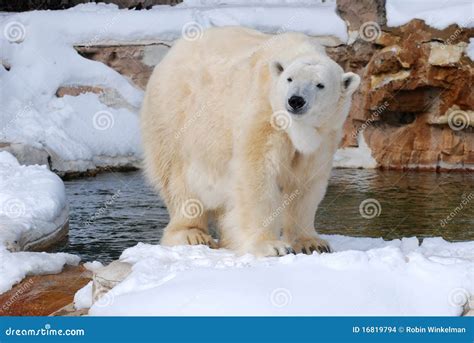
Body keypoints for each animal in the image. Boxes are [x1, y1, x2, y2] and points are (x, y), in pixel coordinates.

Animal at [141, 26, 360, 256]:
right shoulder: (264, 115)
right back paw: (191, 235)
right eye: (290, 79)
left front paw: (312, 243)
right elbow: (257, 173)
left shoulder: (324, 136)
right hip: (175, 120)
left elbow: (305, 183)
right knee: (179, 181)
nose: (295, 101)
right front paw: (271, 246)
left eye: (320, 85)